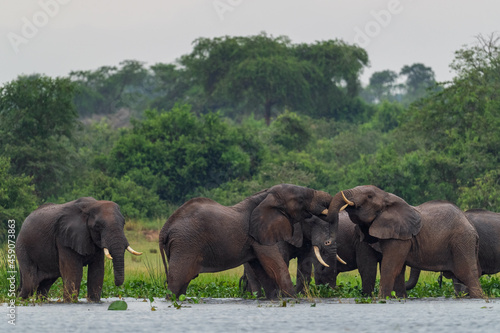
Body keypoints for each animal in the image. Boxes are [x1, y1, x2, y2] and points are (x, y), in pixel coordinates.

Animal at [158, 184, 342, 298]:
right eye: (301, 200)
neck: (266, 195)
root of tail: (164, 228)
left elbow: (263, 270)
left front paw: (276, 298)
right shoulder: (259, 236)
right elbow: (276, 266)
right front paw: (292, 298)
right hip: (185, 244)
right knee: (177, 282)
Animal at [324, 185, 484, 296]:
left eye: (369, 196)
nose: (327, 242)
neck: (388, 197)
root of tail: (471, 226)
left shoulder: (399, 238)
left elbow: (388, 267)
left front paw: (381, 298)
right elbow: (395, 270)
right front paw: (397, 298)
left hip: (461, 242)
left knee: (467, 275)